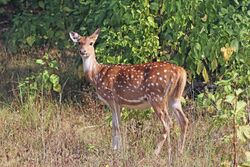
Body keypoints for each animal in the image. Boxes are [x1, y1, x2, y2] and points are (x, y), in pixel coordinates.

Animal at [69, 28, 188, 166]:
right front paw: (114, 149)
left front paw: (118, 151)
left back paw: (156, 153)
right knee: (184, 120)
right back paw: (179, 153)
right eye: (79, 43)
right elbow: (115, 125)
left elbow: (117, 125)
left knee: (168, 123)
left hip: (157, 96)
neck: (96, 75)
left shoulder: (112, 98)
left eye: (91, 43)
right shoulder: (118, 103)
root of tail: (180, 71)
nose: (83, 51)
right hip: (174, 98)